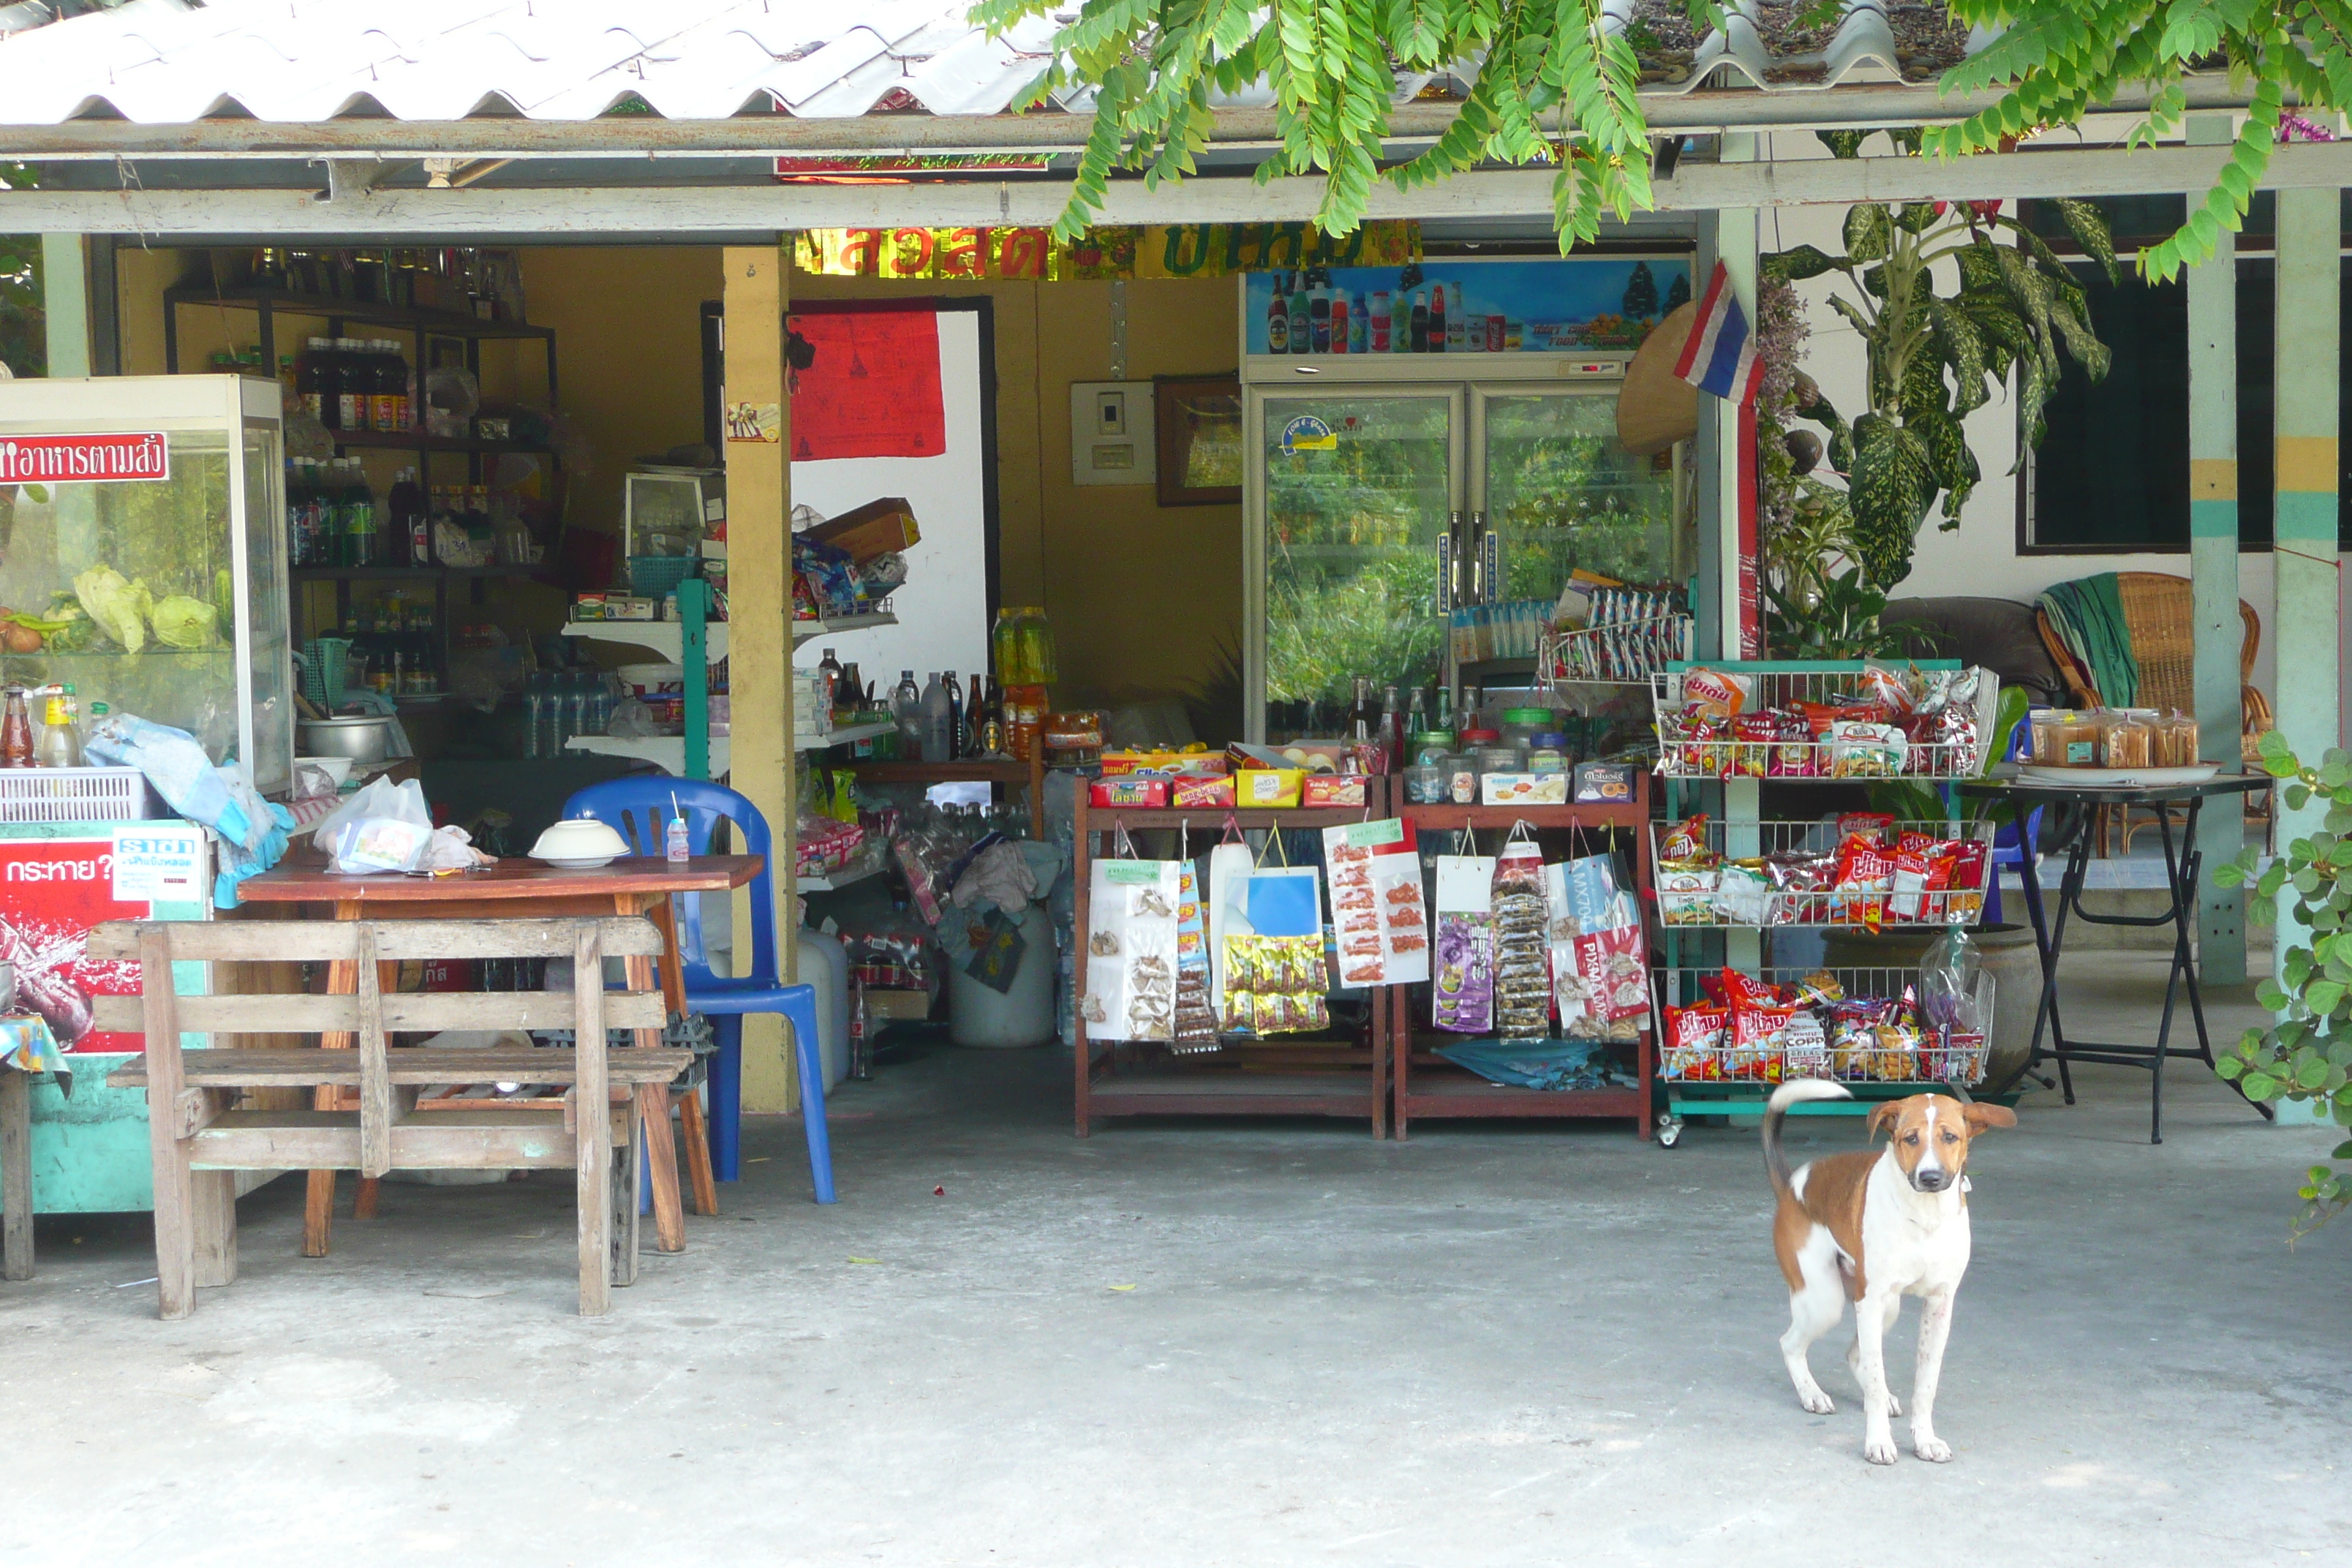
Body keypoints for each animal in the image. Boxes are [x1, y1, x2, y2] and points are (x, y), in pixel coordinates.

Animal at [1768, 1081, 2013, 1457]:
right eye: (1910, 1138)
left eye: (1951, 1137)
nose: (1930, 1177)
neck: (1925, 1216)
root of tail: (1791, 1185)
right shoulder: (1869, 1303)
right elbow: (1874, 1376)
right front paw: (1879, 1442)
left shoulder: (1939, 1306)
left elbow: (1925, 1384)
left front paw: (1925, 1439)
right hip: (1827, 1302)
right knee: (1792, 1344)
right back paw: (1813, 1394)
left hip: (1887, 1307)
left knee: (1856, 1355)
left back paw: (1880, 1396)